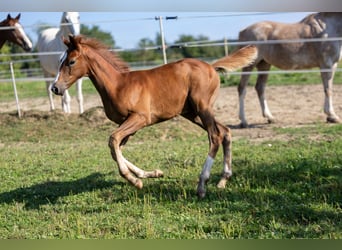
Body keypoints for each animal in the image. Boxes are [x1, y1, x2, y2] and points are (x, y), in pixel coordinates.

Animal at [51, 34, 256, 197]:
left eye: (71, 61)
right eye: (60, 60)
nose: (55, 88)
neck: (118, 85)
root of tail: (211, 67)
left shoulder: (140, 119)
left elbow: (113, 141)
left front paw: (134, 180)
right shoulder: (127, 125)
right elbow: (115, 149)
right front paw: (152, 174)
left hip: (202, 108)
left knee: (215, 136)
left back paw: (202, 185)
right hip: (193, 114)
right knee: (225, 131)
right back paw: (223, 180)